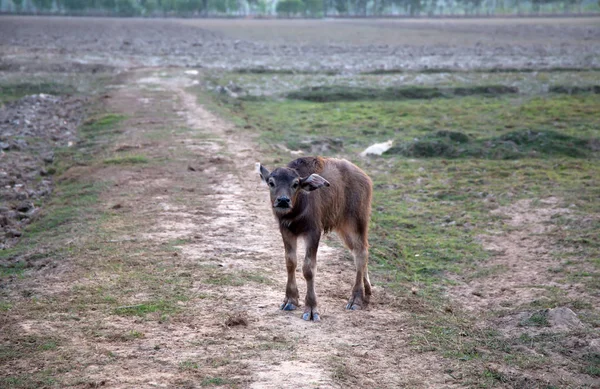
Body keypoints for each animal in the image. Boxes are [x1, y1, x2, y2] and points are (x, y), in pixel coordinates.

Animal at [256, 156, 372, 320]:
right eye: (271, 182)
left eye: (295, 184)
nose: (283, 200)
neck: (296, 211)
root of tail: (364, 177)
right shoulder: (286, 231)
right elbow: (290, 262)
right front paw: (290, 300)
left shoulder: (313, 232)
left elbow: (308, 268)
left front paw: (311, 308)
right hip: (343, 227)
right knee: (359, 251)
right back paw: (367, 291)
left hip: (356, 222)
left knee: (361, 252)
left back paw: (355, 299)